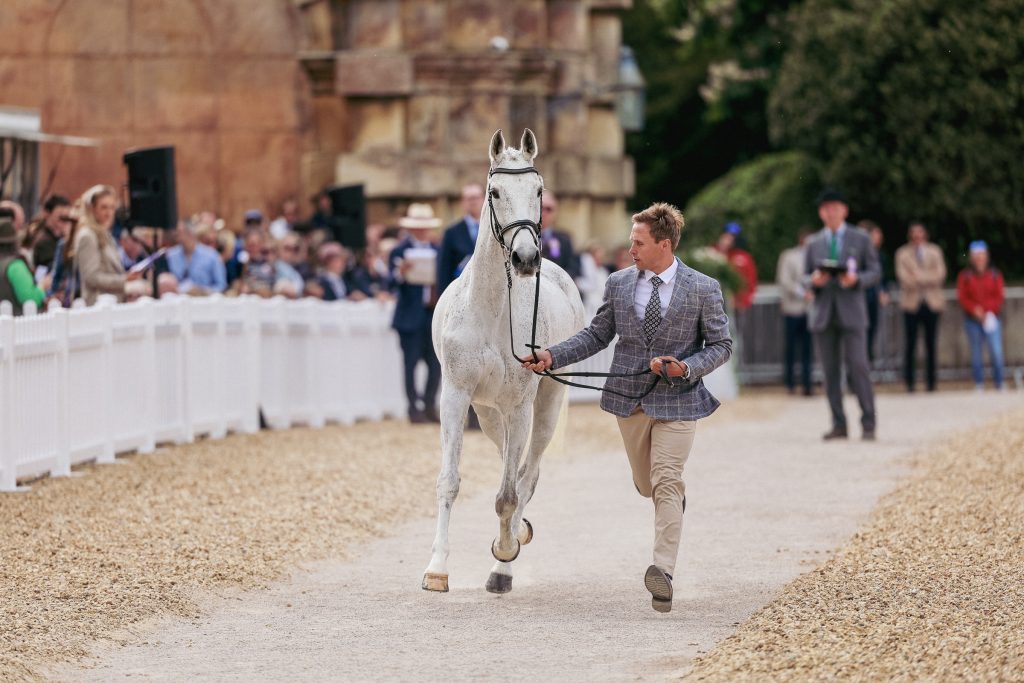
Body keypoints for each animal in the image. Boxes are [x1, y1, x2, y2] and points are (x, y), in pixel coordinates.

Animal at [422, 129, 586, 594]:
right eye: (495, 192)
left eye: (539, 190)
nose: (526, 259)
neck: (493, 312)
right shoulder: (457, 397)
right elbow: (450, 481)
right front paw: (437, 569)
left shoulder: (520, 406)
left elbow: (509, 494)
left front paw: (504, 557)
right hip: (488, 412)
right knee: (509, 464)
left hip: (543, 407)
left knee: (526, 476)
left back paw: (507, 554)